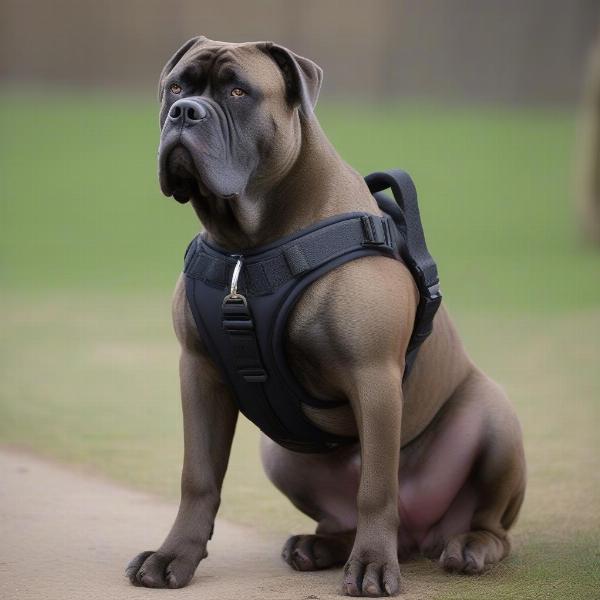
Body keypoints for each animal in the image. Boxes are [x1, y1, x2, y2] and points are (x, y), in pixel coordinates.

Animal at [125, 37, 524, 596]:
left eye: (238, 91)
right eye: (177, 87)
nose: (186, 112)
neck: (248, 241)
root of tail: (421, 535)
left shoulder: (373, 377)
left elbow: (376, 486)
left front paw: (373, 566)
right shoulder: (199, 372)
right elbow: (198, 477)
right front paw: (173, 556)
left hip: (496, 419)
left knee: (488, 524)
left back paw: (467, 546)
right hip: (280, 453)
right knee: (342, 519)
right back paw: (321, 547)